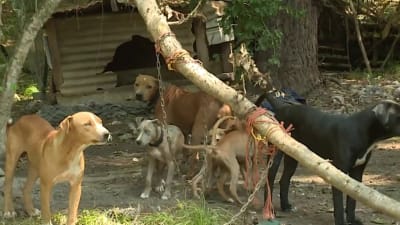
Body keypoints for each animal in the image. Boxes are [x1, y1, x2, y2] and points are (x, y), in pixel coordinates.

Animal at [258, 92, 400, 225]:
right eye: (398, 116)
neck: (362, 130)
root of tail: (282, 107)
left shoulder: (357, 172)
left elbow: (352, 200)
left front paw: (352, 220)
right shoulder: (339, 174)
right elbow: (339, 204)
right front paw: (341, 222)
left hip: (294, 155)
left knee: (284, 180)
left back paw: (286, 206)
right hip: (275, 154)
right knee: (269, 179)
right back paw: (269, 210)